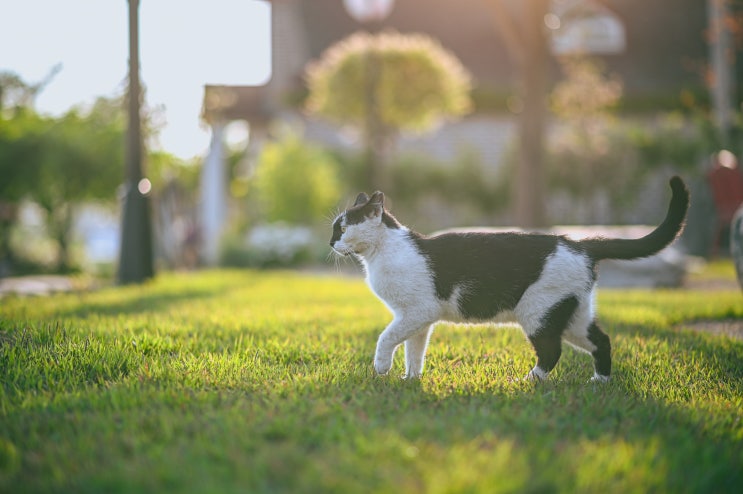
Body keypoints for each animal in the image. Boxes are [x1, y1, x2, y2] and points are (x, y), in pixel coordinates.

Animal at [332, 178, 692, 382]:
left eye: (343, 228)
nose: (331, 243)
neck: (383, 251)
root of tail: (578, 242)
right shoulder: (418, 320)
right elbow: (414, 351)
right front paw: (411, 380)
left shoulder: (417, 312)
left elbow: (386, 339)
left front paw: (382, 369)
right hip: (572, 314)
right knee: (601, 341)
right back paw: (599, 382)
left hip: (538, 313)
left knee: (551, 352)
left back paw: (527, 381)